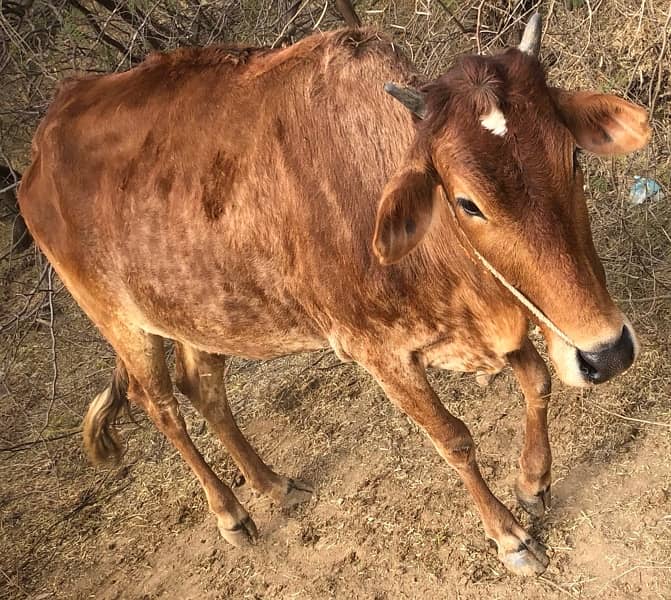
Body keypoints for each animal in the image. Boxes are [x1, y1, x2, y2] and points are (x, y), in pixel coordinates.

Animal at [18, 15, 652, 576]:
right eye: (467, 202)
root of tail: (45, 137)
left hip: (204, 312)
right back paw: (231, 513)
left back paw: (274, 485)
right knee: (163, 408)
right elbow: (454, 440)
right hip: (121, 322)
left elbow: (538, 381)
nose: (607, 353)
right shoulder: (380, 352)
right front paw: (510, 537)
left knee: (204, 389)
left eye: (573, 157)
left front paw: (533, 482)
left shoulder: (494, 316)